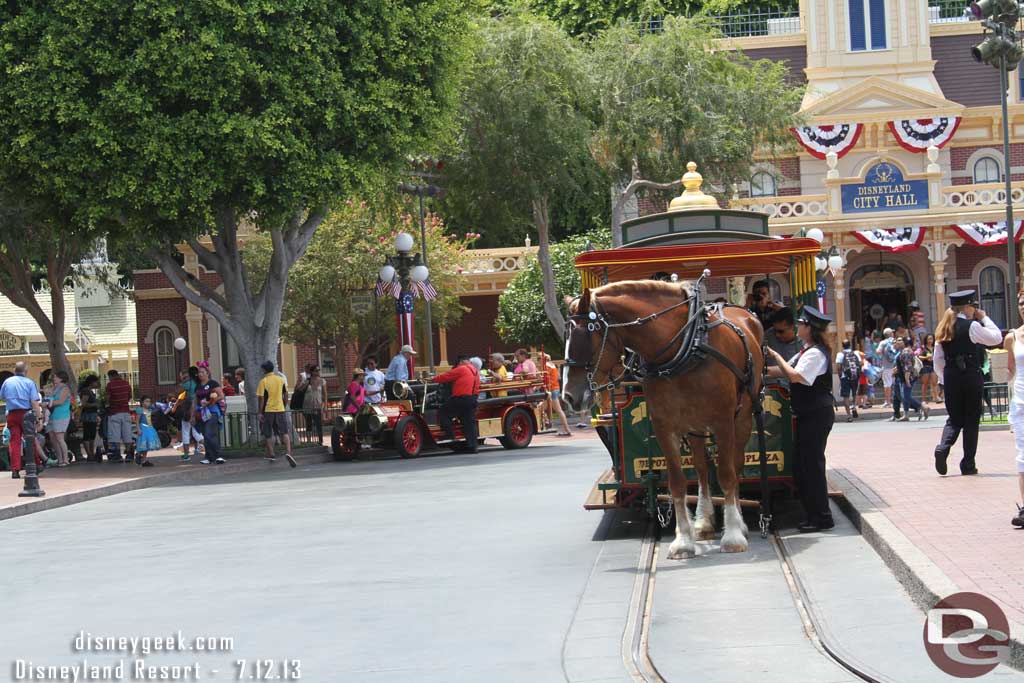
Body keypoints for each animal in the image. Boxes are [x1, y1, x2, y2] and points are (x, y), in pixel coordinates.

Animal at [565, 280, 765, 557]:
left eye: (585, 335)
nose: (568, 396)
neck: (687, 347)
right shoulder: (665, 426)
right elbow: (677, 483)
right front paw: (683, 541)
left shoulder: (723, 422)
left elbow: (726, 474)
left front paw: (734, 536)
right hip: (694, 425)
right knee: (701, 468)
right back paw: (704, 522)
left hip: (743, 417)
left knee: (735, 465)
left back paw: (738, 523)